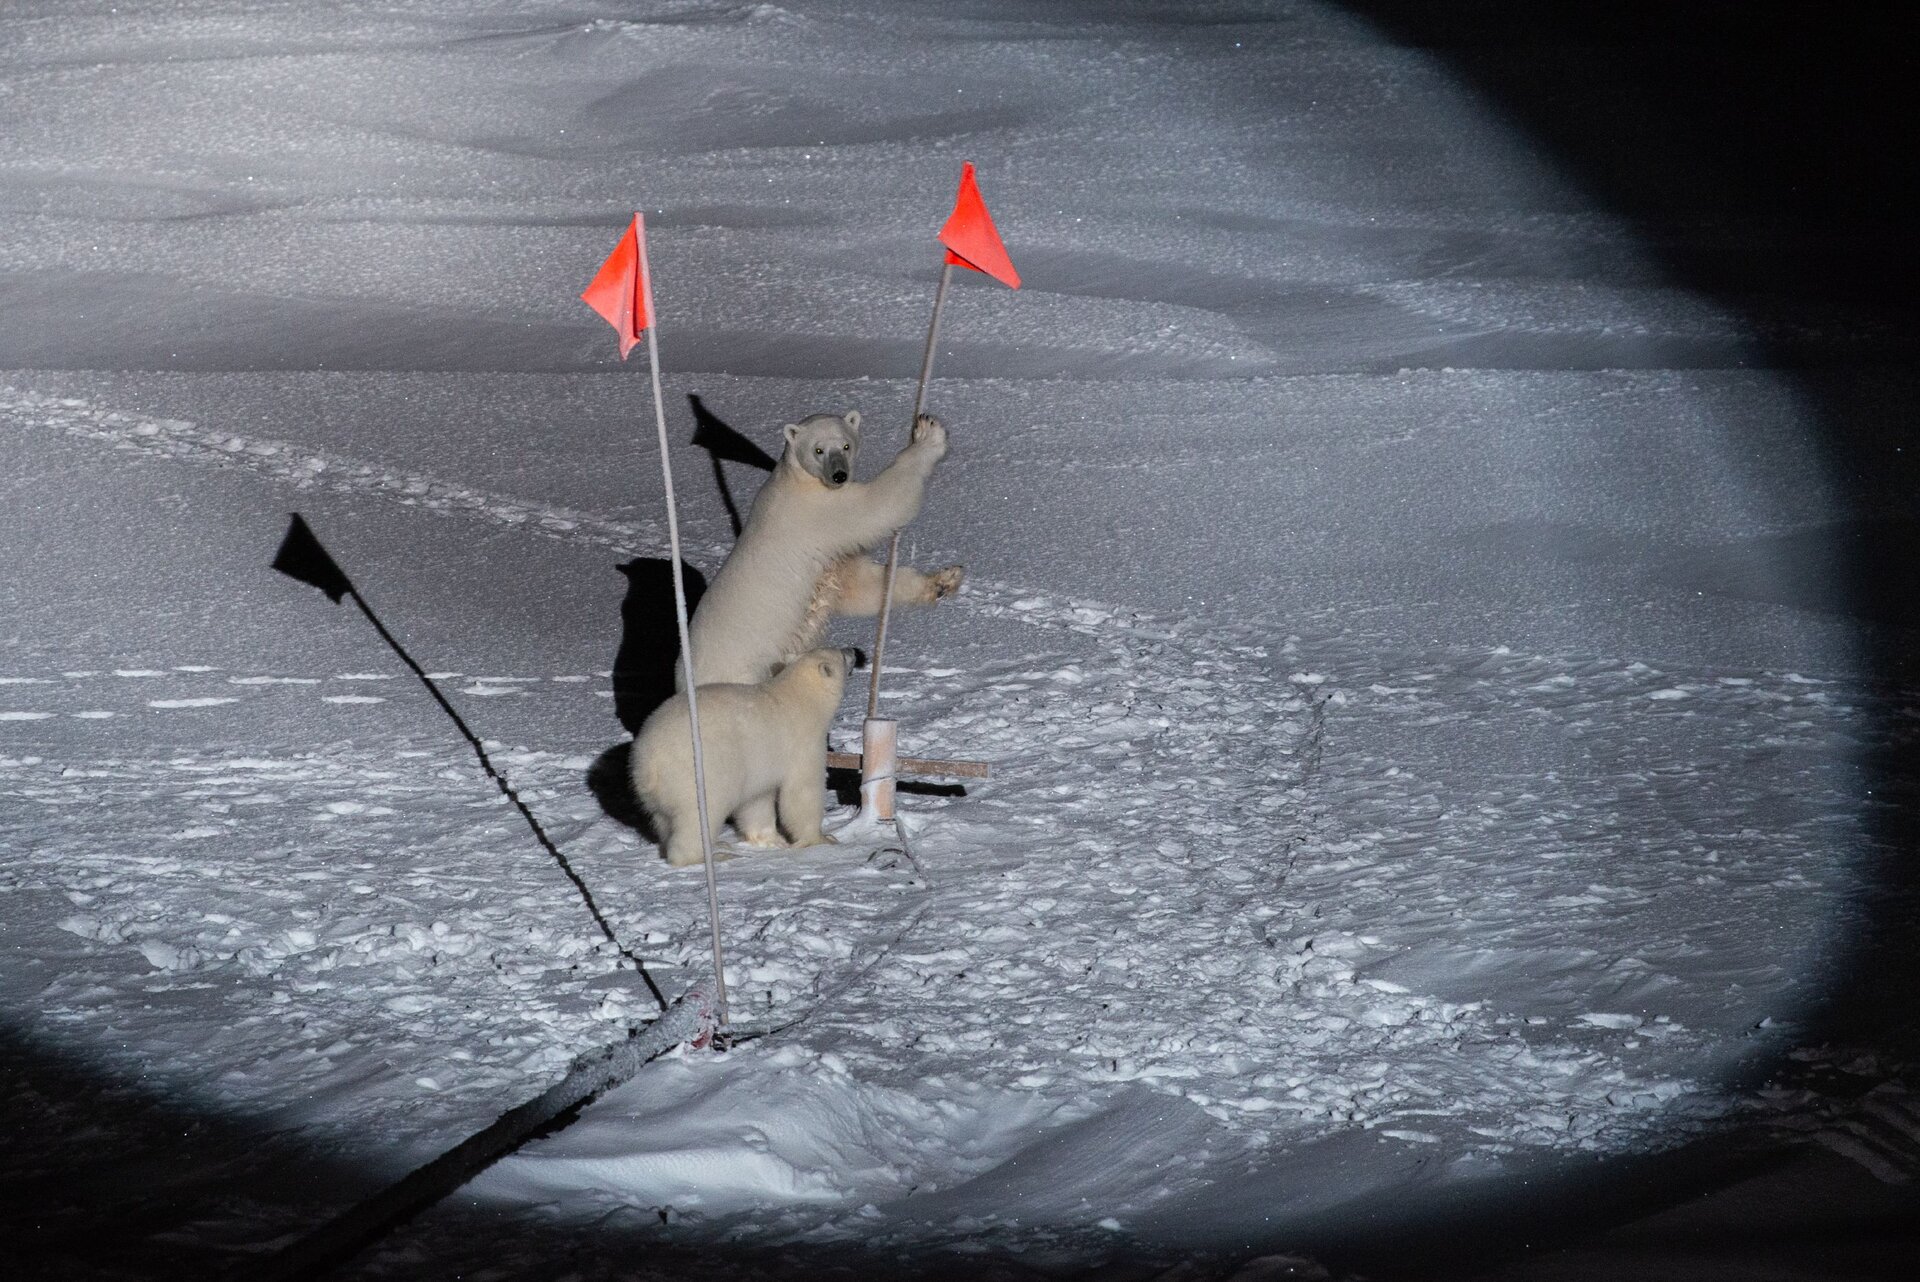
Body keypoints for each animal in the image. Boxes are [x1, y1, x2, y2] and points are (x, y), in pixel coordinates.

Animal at [629, 644, 856, 867]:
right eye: (841, 655)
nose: (854, 651)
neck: (799, 697)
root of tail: (648, 763)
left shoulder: (759, 763)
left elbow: (756, 799)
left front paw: (771, 840)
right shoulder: (802, 744)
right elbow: (802, 793)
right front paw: (823, 839)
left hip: (657, 795)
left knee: (663, 821)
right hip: (696, 778)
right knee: (696, 820)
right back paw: (712, 855)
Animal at [683, 410, 967, 690]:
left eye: (846, 445)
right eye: (818, 450)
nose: (839, 475)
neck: (796, 477)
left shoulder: (832, 558)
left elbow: (862, 587)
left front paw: (944, 580)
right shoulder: (819, 509)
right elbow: (879, 504)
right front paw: (929, 434)